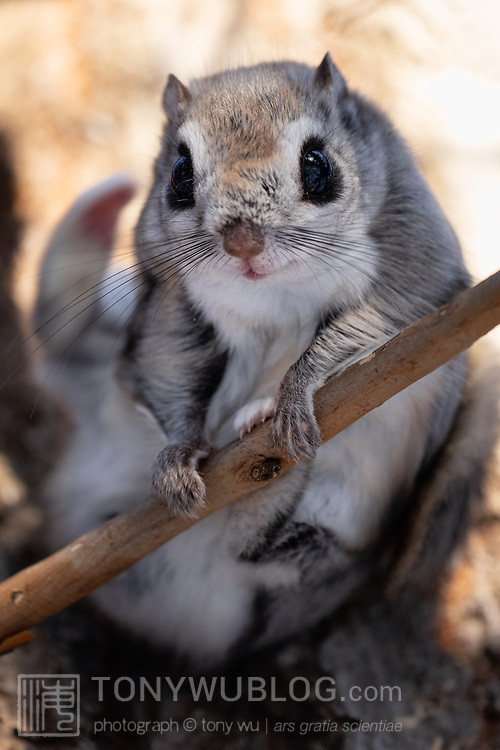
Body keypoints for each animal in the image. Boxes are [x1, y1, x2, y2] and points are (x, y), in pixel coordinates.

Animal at [34, 55, 496, 666]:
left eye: (317, 164)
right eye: (180, 172)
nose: (242, 242)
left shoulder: (415, 277)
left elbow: (360, 332)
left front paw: (292, 396)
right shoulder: (170, 304)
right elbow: (170, 375)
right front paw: (178, 456)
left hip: (328, 556)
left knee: (266, 551)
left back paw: (268, 444)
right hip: (93, 373)